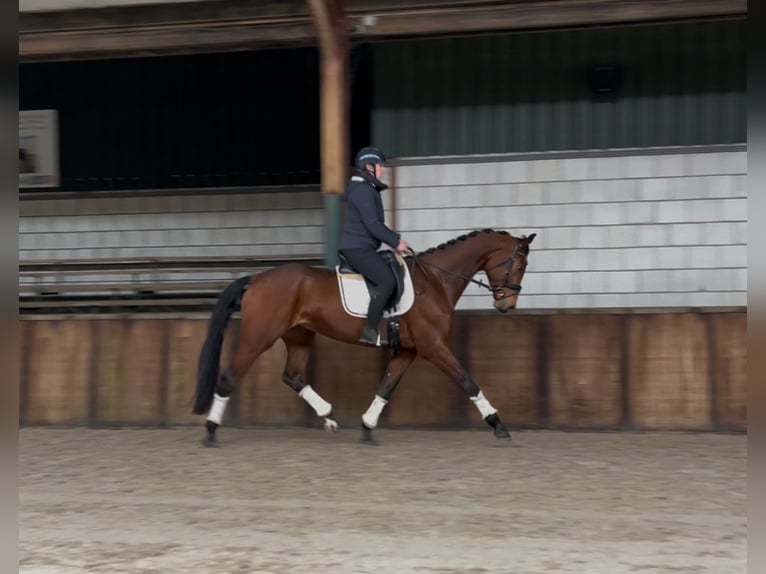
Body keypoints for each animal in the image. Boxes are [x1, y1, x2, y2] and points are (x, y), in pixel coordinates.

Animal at [195, 228, 536, 446]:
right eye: (519, 264)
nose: (506, 305)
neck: (436, 281)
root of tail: (255, 279)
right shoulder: (434, 347)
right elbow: (468, 381)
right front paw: (498, 425)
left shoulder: (408, 351)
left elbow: (385, 387)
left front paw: (367, 426)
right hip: (259, 337)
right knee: (229, 377)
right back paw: (210, 431)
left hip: (299, 336)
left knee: (293, 376)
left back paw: (329, 417)